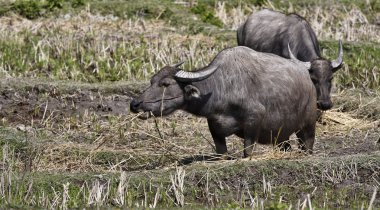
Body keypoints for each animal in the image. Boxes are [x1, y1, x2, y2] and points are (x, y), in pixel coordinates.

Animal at [131, 46, 318, 158]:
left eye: (166, 84)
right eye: (152, 81)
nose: (135, 104)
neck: (223, 89)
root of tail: (307, 78)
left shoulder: (254, 121)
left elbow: (247, 150)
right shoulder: (214, 128)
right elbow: (221, 151)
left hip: (308, 125)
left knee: (307, 143)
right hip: (281, 135)